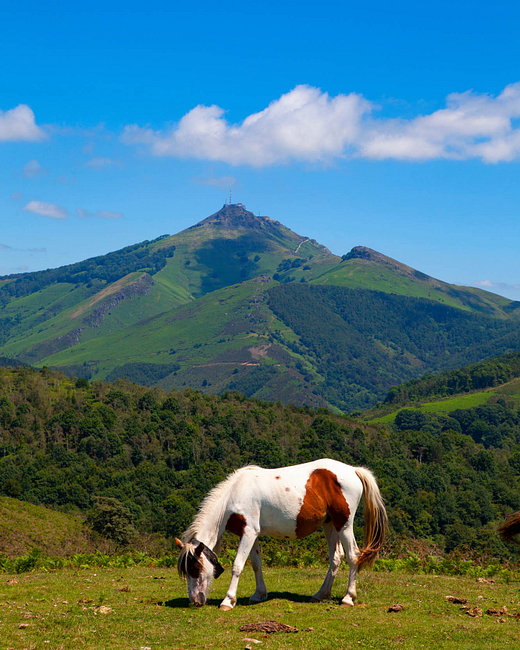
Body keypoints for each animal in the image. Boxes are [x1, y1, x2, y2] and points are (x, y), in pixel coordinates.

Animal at [175, 456, 386, 608]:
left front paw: (228, 600)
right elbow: (256, 564)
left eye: (194, 568)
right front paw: (259, 594)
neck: (235, 493)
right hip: (330, 524)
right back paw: (320, 594)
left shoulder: (248, 532)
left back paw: (348, 598)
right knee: (336, 557)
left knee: (353, 556)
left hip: (344, 524)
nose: (195, 601)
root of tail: (353, 470)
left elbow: (238, 565)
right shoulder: (253, 534)